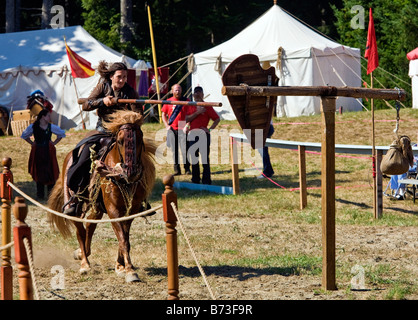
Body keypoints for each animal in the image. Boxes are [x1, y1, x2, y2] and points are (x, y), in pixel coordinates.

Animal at [46, 110, 157, 282]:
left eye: (140, 139)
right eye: (120, 141)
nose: (131, 172)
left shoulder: (130, 211)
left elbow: (124, 237)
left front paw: (121, 266)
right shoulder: (113, 210)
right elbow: (123, 239)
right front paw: (130, 271)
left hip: (97, 208)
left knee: (90, 225)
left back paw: (82, 253)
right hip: (73, 205)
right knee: (80, 230)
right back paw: (84, 264)